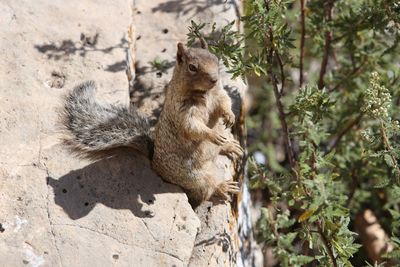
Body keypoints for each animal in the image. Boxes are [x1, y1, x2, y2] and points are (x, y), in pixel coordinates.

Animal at [62, 40, 244, 207]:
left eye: (216, 59)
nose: (214, 79)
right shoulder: (182, 111)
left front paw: (229, 116)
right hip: (196, 178)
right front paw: (212, 134)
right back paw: (223, 186)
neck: (205, 93)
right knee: (208, 189)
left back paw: (230, 146)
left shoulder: (219, 94)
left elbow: (225, 102)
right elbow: (192, 127)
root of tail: (154, 164)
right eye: (192, 67)